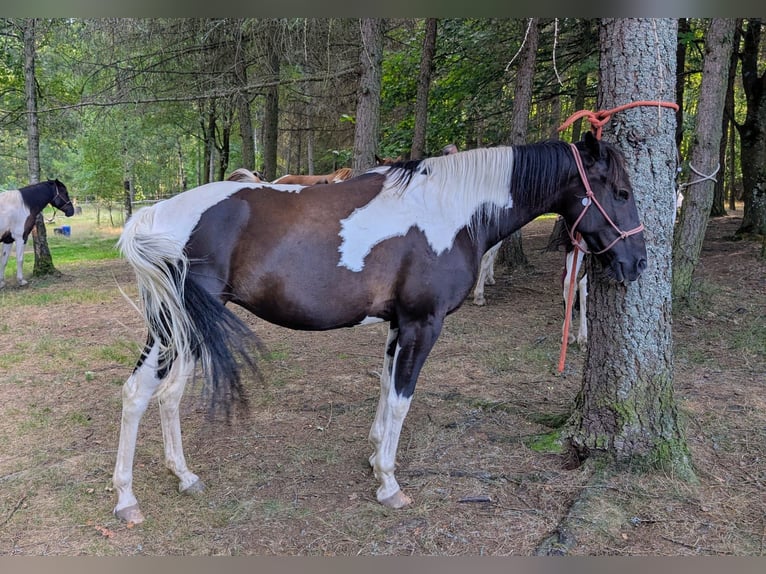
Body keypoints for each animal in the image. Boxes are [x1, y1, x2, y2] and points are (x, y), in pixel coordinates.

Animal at [112, 132, 647, 524]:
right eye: (621, 193)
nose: (637, 263)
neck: (451, 211)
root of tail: (155, 214)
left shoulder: (397, 326)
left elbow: (386, 389)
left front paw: (373, 459)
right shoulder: (422, 325)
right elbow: (402, 399)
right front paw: (389, 484)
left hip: (184, 329)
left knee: (161, 395)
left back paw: (182, 478)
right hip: (174, 326)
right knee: (143, 393)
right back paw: (127, 500)